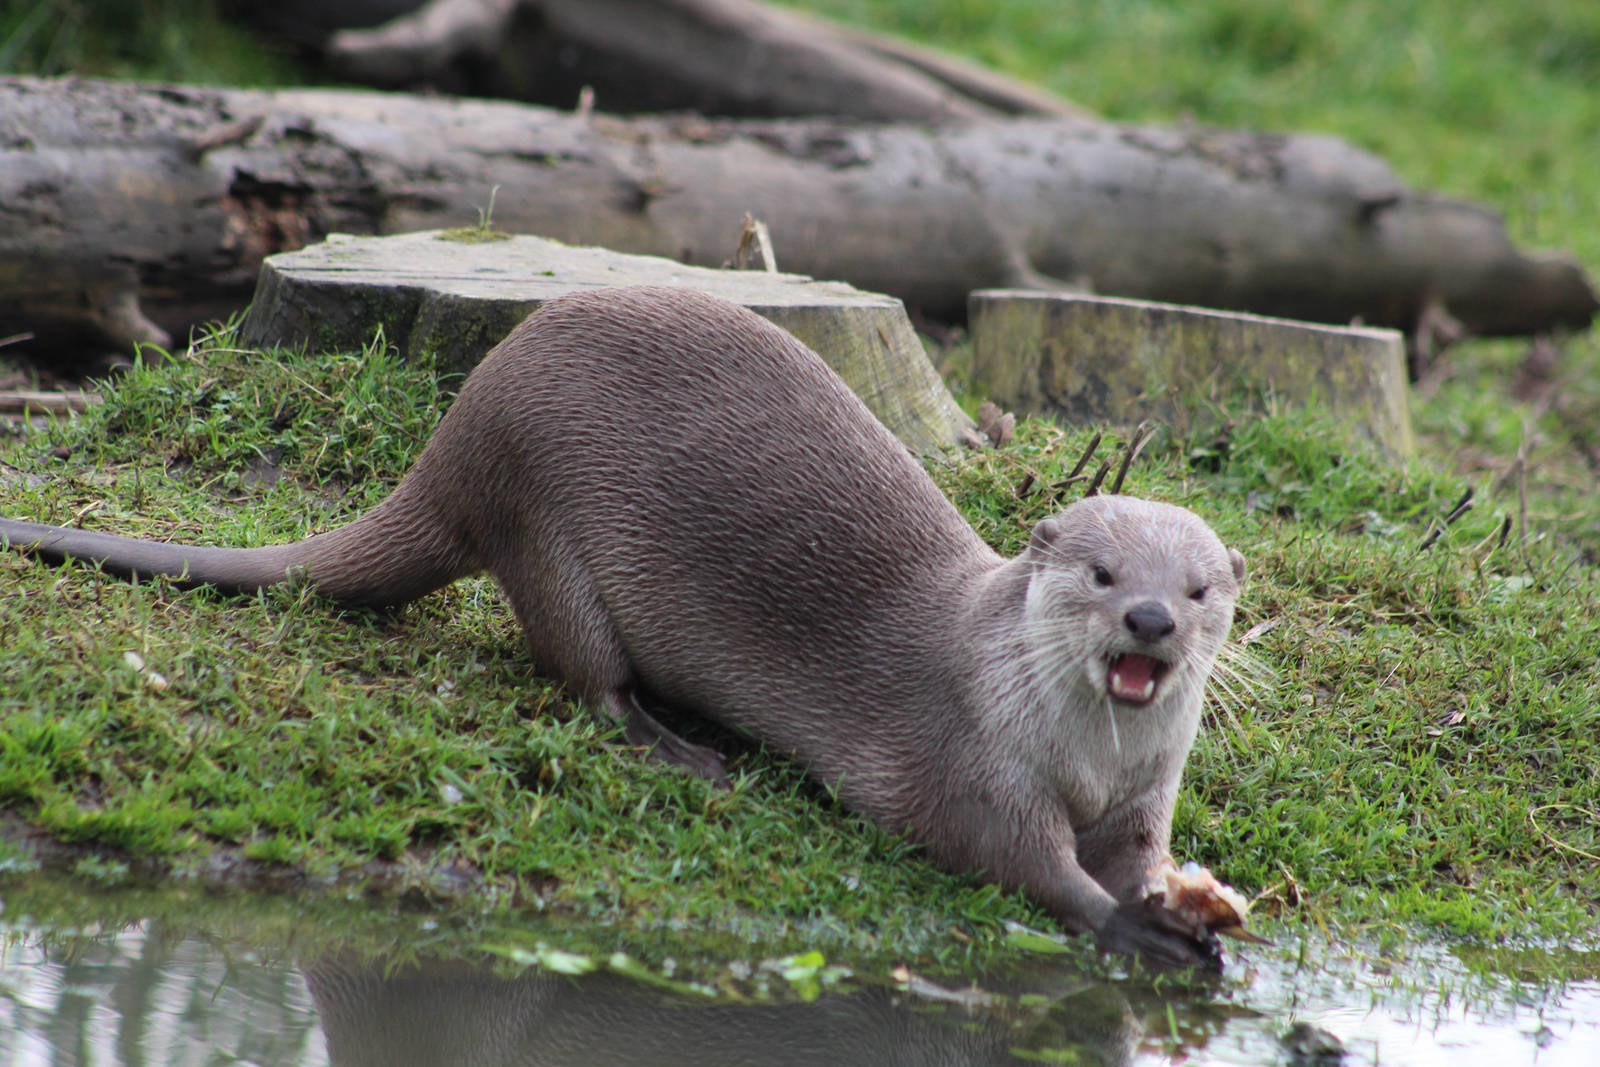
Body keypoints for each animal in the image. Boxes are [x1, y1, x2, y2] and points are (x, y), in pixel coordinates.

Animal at [1, 286, 1245, 968]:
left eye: (1199, 590)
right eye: (1099, 571)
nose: (1147, 618)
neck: (1084, 758)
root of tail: (451, 440)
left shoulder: (1143, 794)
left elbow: (1137, 856)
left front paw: (1190, 909)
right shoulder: (968, 757)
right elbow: (1014, 857)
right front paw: (1133, 930)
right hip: (541, 514)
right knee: (582, 677)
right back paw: (684, 747)